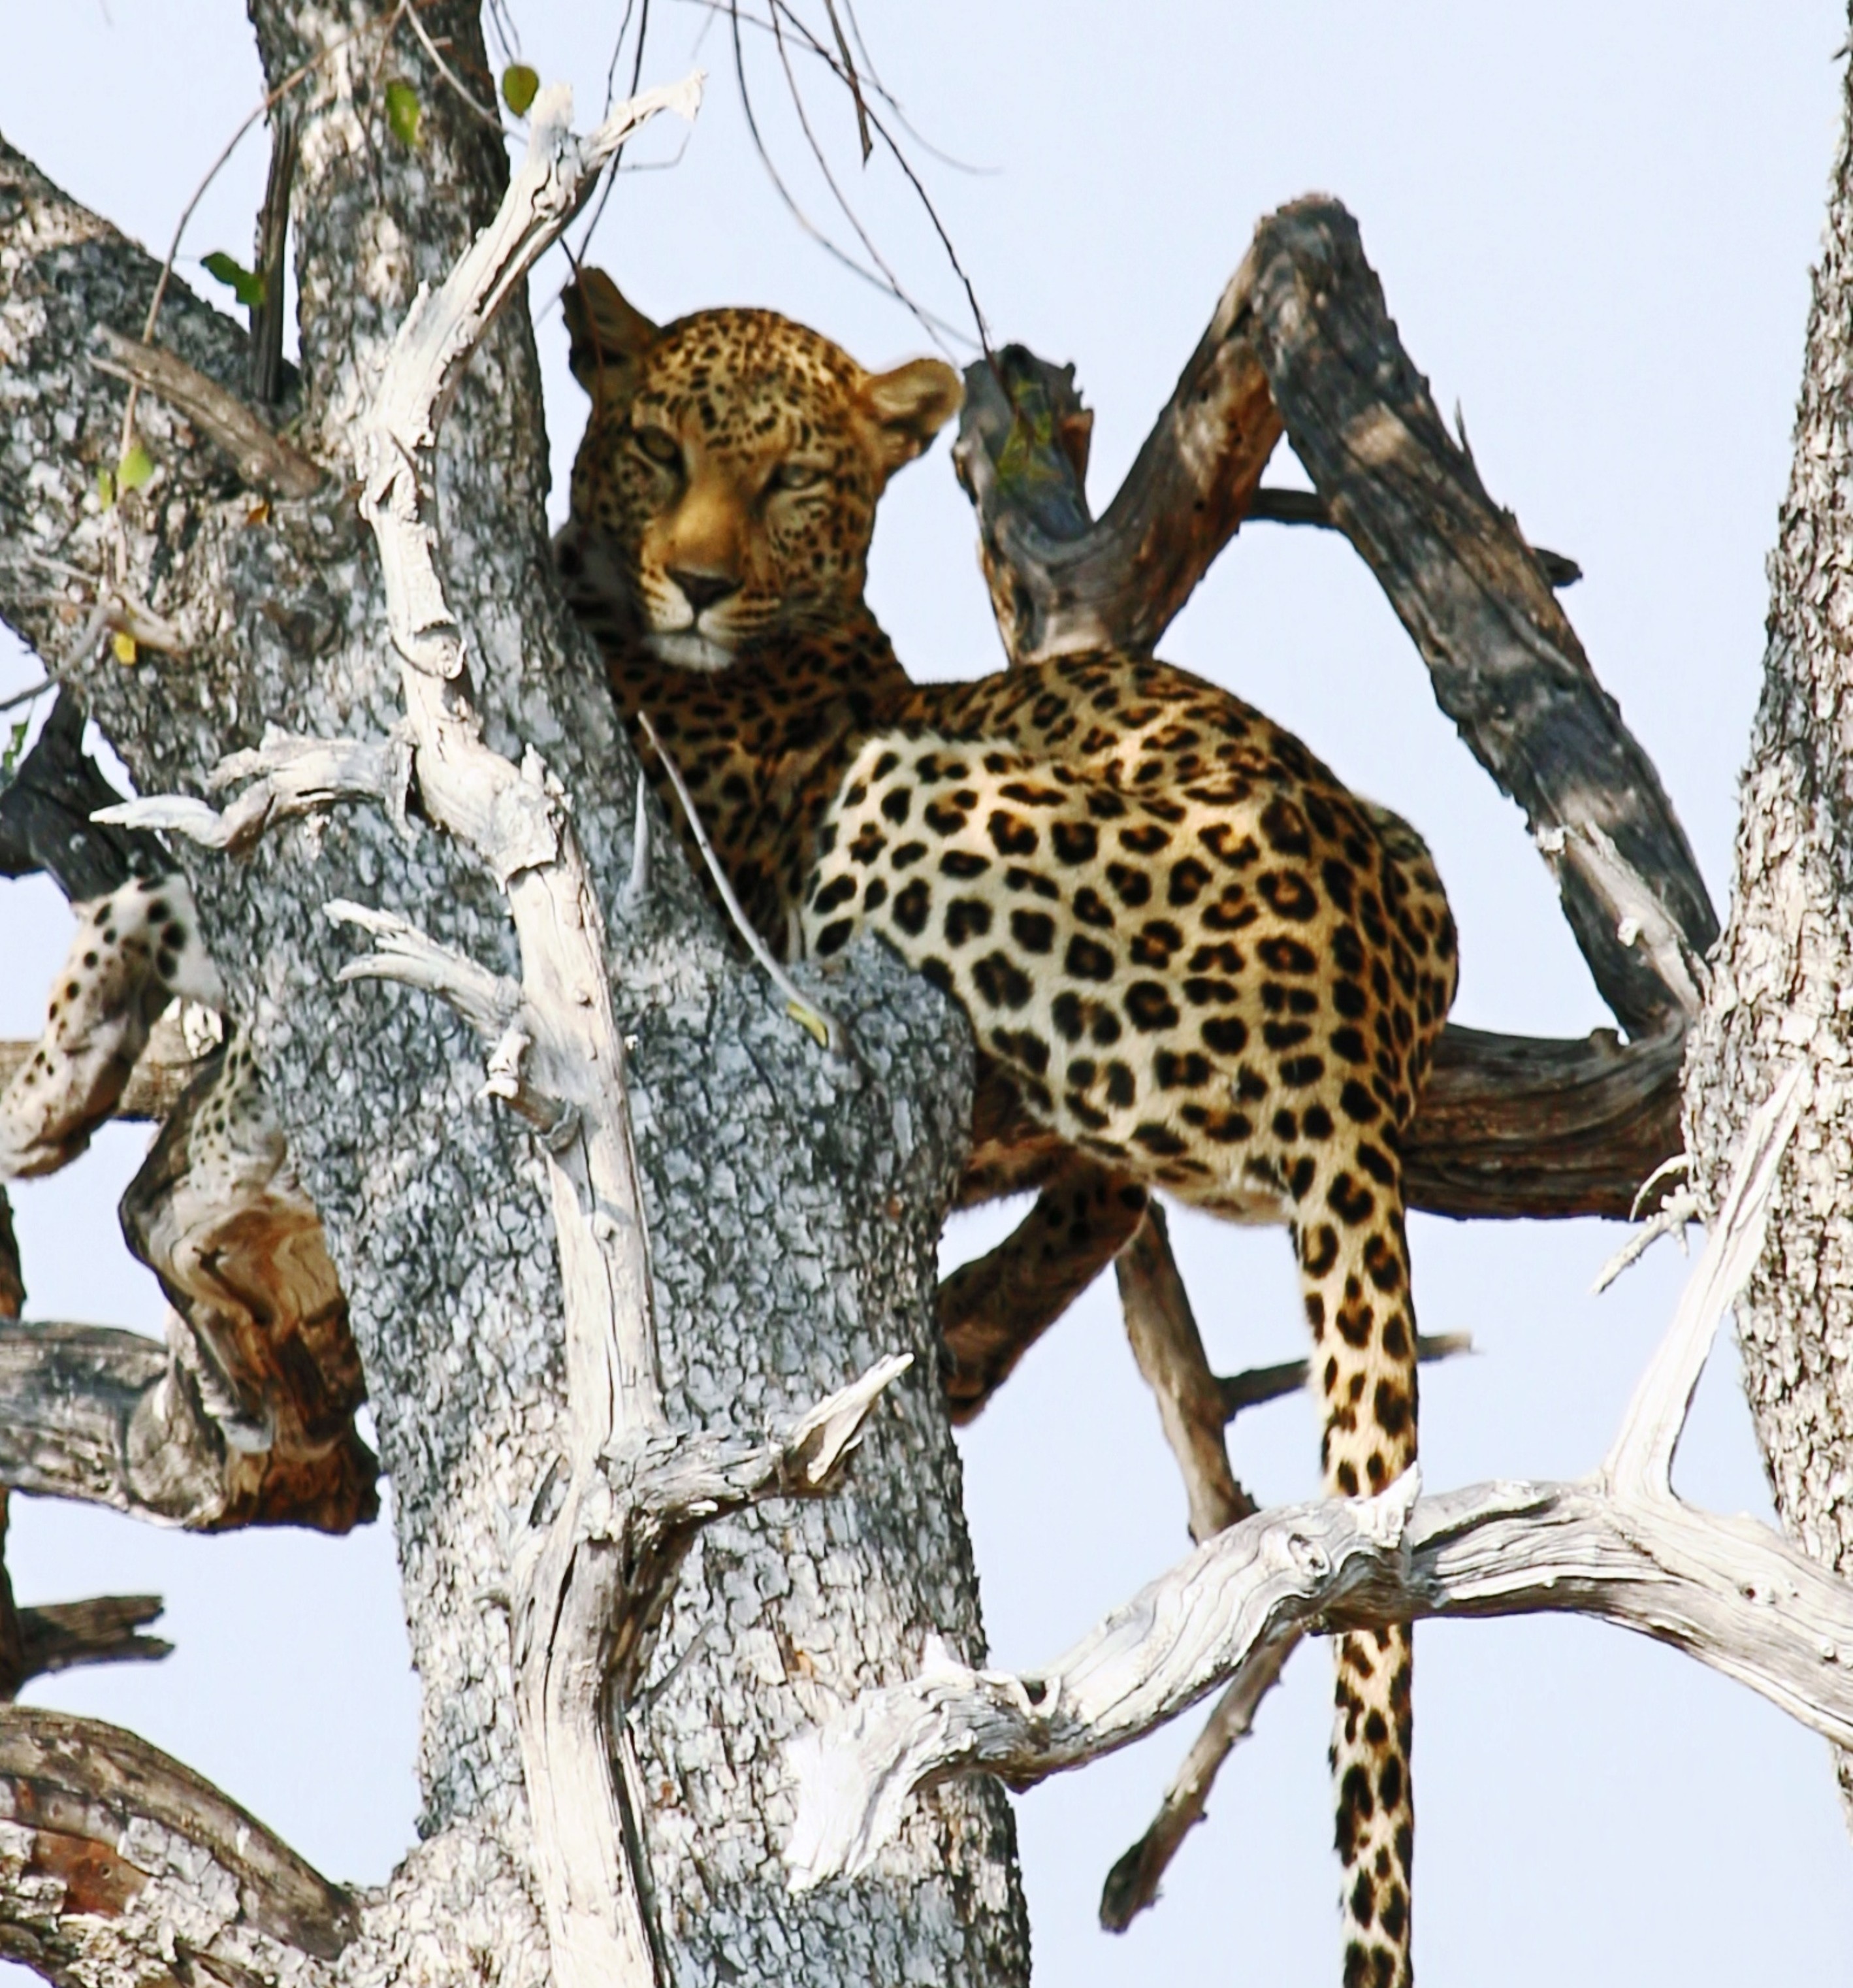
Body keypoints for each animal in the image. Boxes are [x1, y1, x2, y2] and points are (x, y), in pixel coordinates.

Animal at [556, 267, 1458, 1988]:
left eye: (792, 480)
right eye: (656, 447)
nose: (694, 582)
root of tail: (1351, 1030)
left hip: (913, 798)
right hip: (1416, 864)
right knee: (1112, 1171)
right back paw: (972, 1320)